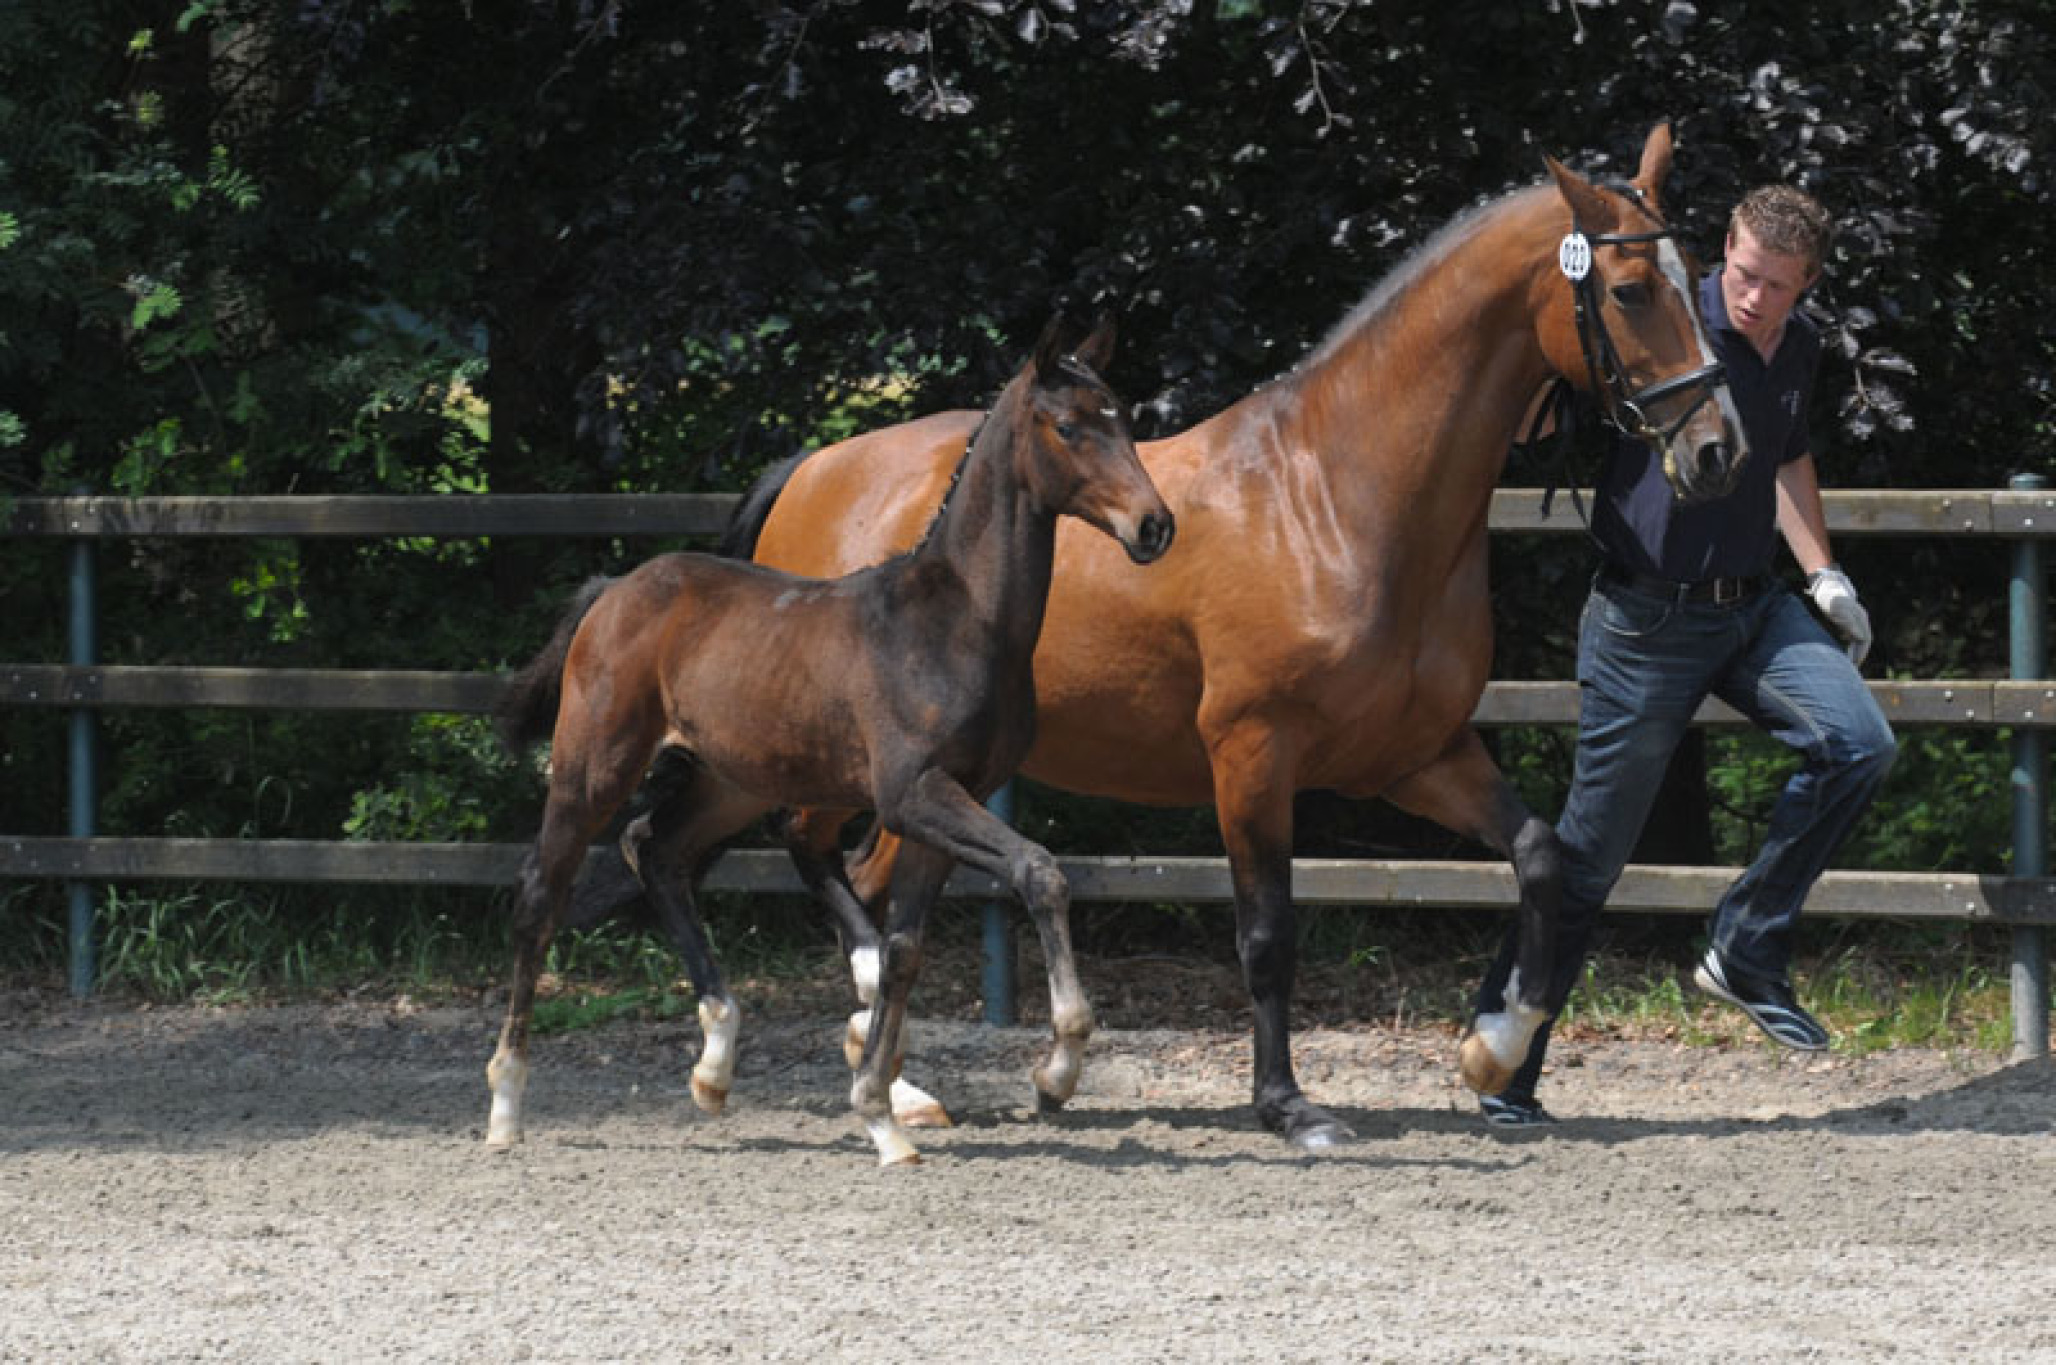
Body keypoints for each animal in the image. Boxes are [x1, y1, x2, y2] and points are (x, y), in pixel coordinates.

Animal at [487, 315, 1174, 1166]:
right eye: (1069, 425)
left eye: (1126, 417)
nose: (1154, 526)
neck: (956, 620)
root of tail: (612, 590)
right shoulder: (914, 793)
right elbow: (1039, 873)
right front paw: (1058, 1067)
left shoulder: (950, 801)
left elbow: (904, 949)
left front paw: (881, 1114)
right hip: (593, 765)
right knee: (541, 893)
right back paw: (506, 1106)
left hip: (734, 779)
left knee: (657, 847)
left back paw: (715, 1062)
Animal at [729, 124, 1748, 1149]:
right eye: (1629, 289)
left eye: (1697, 273)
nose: (1717, 451)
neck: (1334, 497)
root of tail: (815, 469)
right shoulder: (1253, 755)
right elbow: (1266, 935)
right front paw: (1288, 1104)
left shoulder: (1418, 755)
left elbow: (1541, 856)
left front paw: (1492, 1049)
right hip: (852, 763)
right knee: (823, 855)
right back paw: (887, 1074)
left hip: (938, 778)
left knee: (875, 878)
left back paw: (898, 1078)